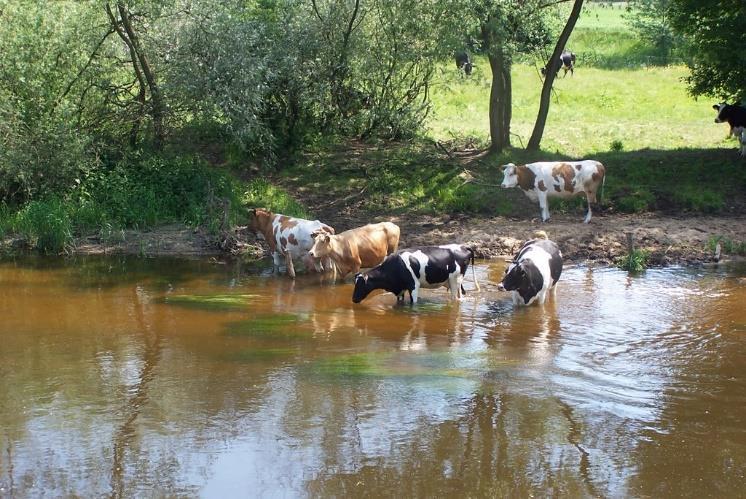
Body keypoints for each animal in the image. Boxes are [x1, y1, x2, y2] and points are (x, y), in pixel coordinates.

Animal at [348, 245, 476, 306]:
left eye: (361, 284)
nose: (353, 299)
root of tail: (463, 246)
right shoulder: (400, 288)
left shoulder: (414, 285)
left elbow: (413, 303)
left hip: (455, 280)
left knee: (455, 299)